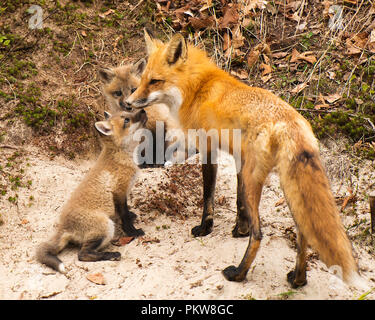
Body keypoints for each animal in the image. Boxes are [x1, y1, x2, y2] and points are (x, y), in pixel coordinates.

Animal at [126, 30, 368, 288]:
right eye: (142, 80)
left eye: (154, 81)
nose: (128, 103)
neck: (198, 88)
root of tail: (292, 122)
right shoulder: (238, 158)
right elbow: (238, 201)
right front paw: (239, 228)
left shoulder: (209, 149)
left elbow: (208, 196)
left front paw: (205, 227)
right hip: (287, 186)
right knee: (303, 233)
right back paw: (298, 278)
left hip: (257, 181)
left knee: (259, 234)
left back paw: (238, 273)